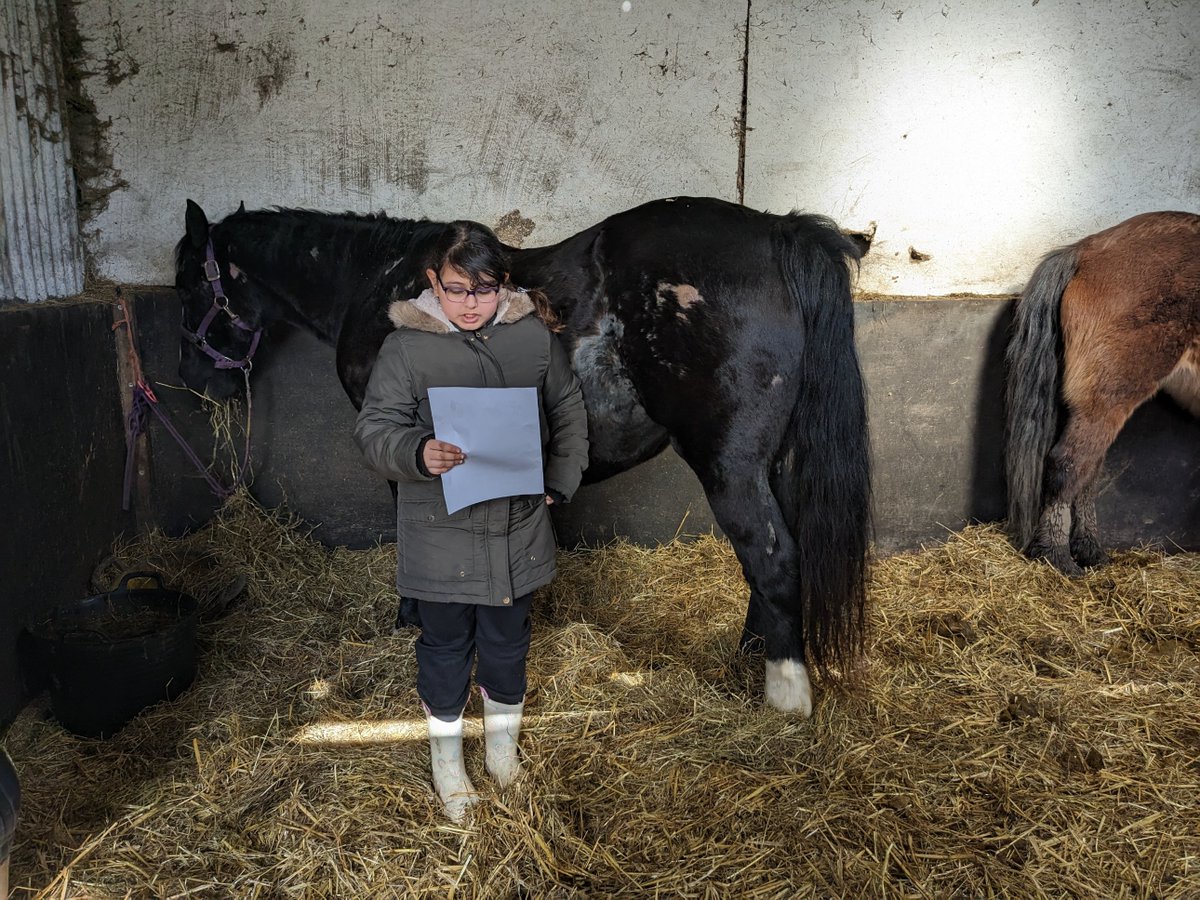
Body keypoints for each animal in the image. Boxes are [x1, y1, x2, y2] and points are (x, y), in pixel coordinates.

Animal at [174, 196, 871, 716]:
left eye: (188, 287)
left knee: (773, 557)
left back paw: (784, 695)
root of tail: (776, 233)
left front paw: (412, 618)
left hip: (729, 465)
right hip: (766, 464)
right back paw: (752, 654)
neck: (379, 283)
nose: (194, 382)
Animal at [1005, 211, 1200, 576]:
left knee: (1087, 473)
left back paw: (1088, 550)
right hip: (1110, 395)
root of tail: (1087, 248)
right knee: (1067, 465)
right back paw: (1056, 556)